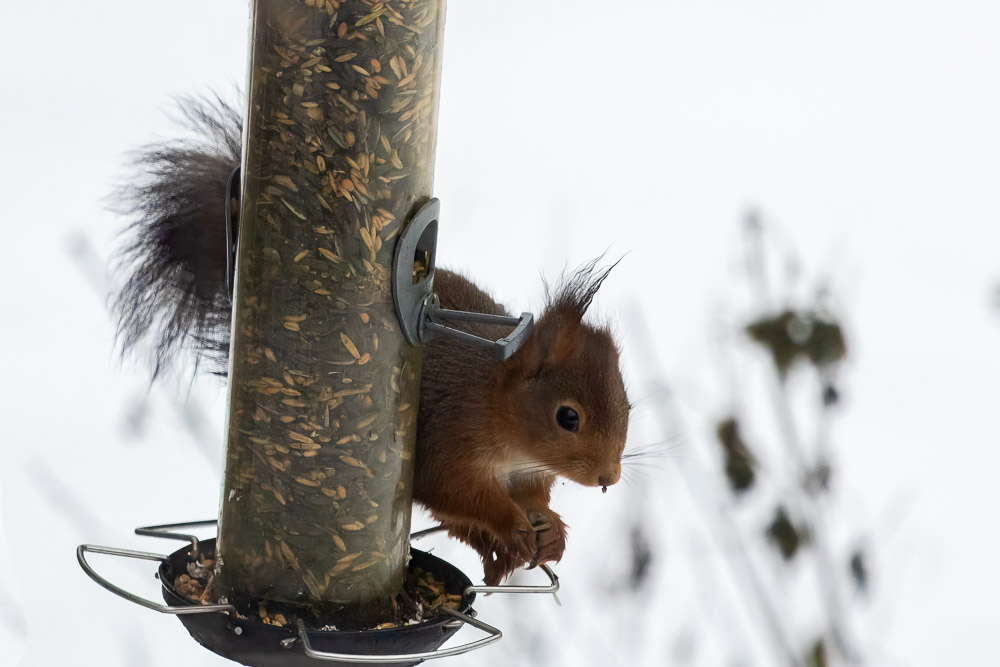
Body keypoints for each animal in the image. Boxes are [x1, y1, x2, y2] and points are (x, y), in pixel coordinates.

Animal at [115, 98, 624, 584]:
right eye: (567, 417)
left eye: (628, 407)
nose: (610, 478)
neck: (500, 413)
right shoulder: (453, 439)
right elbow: (459, 494)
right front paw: (513, 523)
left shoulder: (526, 472)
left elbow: (531, 498)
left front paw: (549, 526)